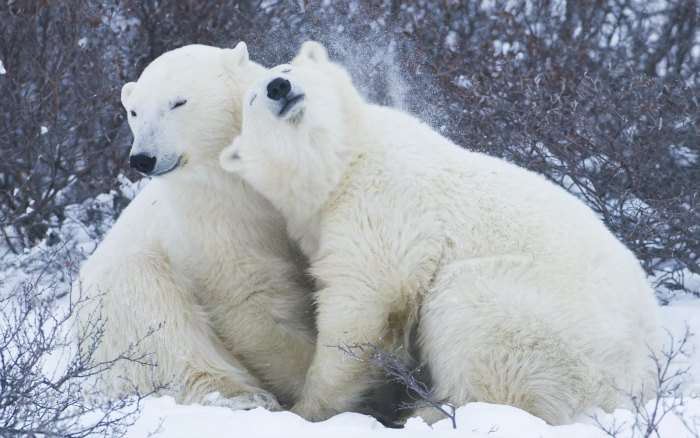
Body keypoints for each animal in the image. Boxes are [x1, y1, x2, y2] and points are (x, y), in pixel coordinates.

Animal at [77, 42, 314, 408]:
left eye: (178, 102)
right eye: (134, 112)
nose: (143, 158)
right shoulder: (212, 219)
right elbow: (251, 297)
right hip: (116, 300)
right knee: (158, 318)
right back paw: (243, 396)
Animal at [221, 42, 664, 424]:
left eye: (287, 69)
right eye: (253, 99)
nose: (278, 88)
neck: (344, 162)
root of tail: (636, 381)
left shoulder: (382, 204)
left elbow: (362, 301)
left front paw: (308, 408)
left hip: (544, 321)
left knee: (473, 317)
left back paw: (431, 410)